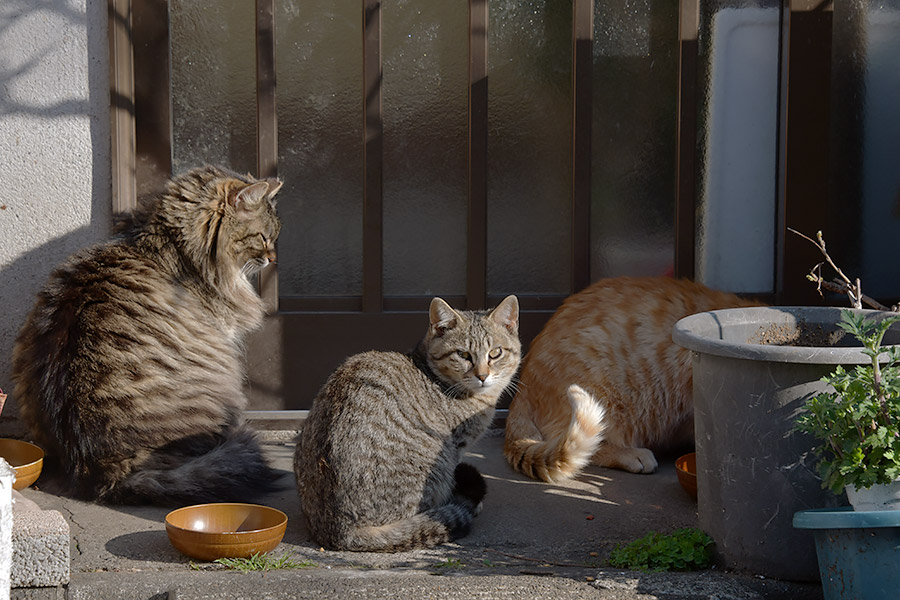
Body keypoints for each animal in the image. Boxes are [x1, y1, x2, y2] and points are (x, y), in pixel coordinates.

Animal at [296, 292, 520, 552]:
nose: (482, 376)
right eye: (463, 355)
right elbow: (454, 475)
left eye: (495, 353)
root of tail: (341, 531)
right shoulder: (456, 445)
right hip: (437, 460)